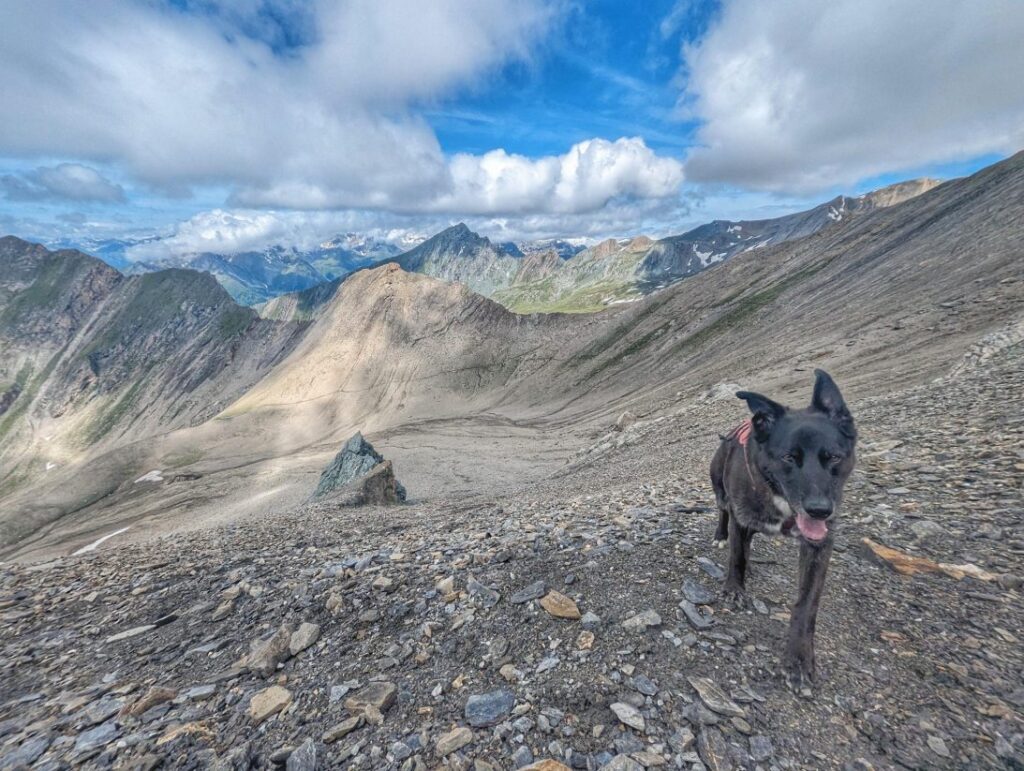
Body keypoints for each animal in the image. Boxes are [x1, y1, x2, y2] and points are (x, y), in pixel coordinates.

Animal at [708, 368, 851, 692]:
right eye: (788, 457)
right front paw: (734, 589)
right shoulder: (741, 516)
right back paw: (721, 536)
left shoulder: (819, 544)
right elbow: (737, 557)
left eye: (835, 457)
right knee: (723, 512)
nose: (819, 510)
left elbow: (806, 603)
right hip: (721, 489)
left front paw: (799, 659)